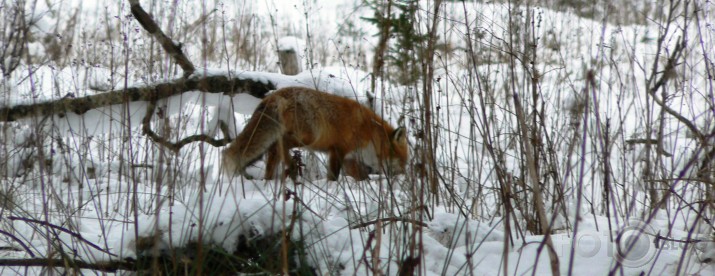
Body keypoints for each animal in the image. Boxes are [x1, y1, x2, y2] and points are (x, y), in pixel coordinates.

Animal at [224, 87, 408, 181]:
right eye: (402, 161)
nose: (404, 175)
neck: (369, 132)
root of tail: (275, 95)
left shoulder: (349, 157)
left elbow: (360, 176)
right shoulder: (338, 150)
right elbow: (333, 175)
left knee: (273, 154)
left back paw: (271, 180)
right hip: (307, 137)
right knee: (280, 145)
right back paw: (291, 168)